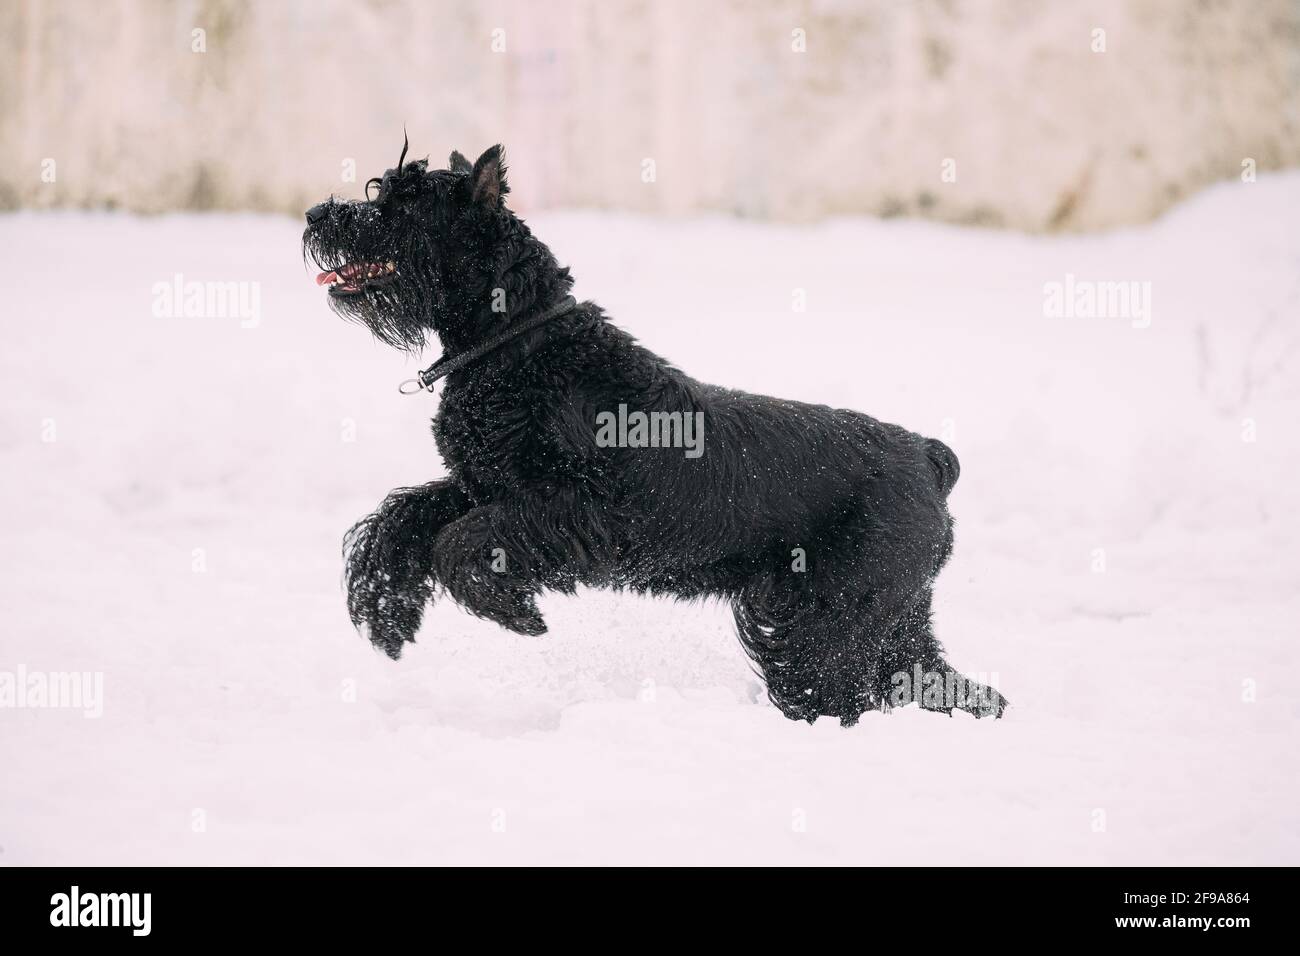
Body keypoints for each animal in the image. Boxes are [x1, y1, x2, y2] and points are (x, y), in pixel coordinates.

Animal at [304, 140, 1003, 723]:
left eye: (403, 204)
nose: (315, 214)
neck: (519, 342)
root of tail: (931, 458)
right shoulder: (484, 486)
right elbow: (405, 518)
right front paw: (385, 612)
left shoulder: (580, 512)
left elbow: (460, 541)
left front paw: (515, 613)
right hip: (889, 615)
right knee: (938, 682)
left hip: (830, 612)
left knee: (831, 684)